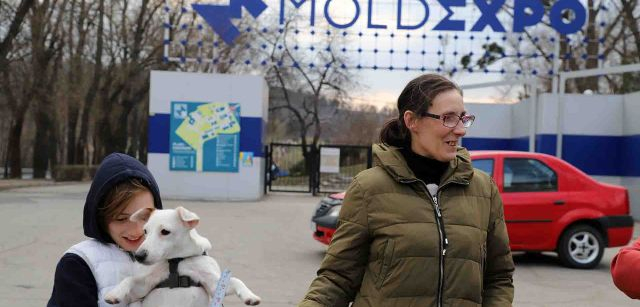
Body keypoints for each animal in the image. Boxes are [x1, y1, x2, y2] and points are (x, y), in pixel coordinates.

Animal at [105, 207, 262, 307]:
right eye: (145, 231)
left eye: (165, 231)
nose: (139, 256)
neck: (176, 261)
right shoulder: (144, 287)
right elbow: (129, 279)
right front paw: (114, 294)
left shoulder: (213, 284)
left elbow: (236, 280)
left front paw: (250, 296)